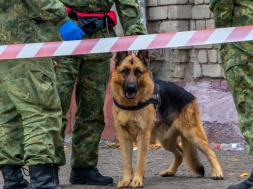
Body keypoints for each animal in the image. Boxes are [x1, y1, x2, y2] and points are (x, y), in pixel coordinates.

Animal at [110, 49, 223, 188]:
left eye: (138, 72)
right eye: (125, 71)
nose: (131, 88)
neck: (130, 105)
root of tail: (190, 95)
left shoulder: (143, 136)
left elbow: (140, 161)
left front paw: (136, 180)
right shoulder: (124, 138)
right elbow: (127, 162)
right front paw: (126, 180)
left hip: (192, 134)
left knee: (210, 152)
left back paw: (217, 172)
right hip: (166, 140)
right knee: (180, 153)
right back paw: (170, 171)